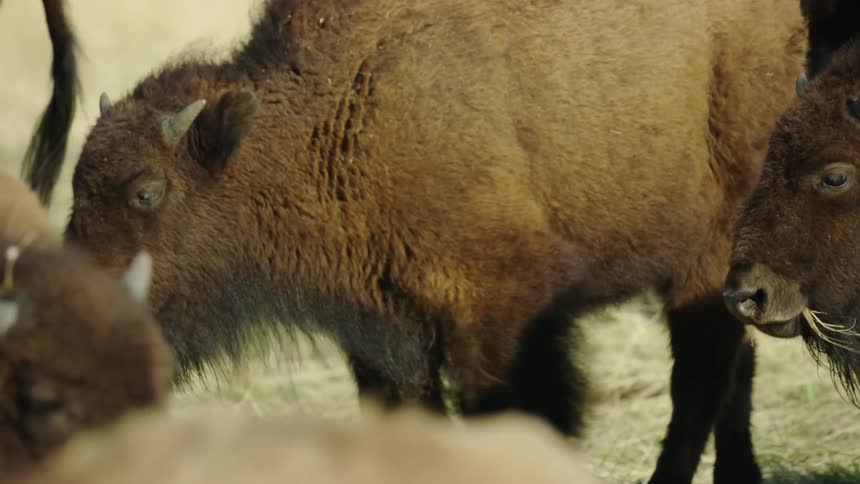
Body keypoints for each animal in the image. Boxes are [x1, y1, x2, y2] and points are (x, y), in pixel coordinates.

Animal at [26, 0, 810, 482]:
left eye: (146, 191)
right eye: (77, 187)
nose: (76, 313)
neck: (329, 120)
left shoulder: (501, 312)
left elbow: (520, 412)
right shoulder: (383, 333)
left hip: (705, 261)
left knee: (702, 378)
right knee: (730, 372)